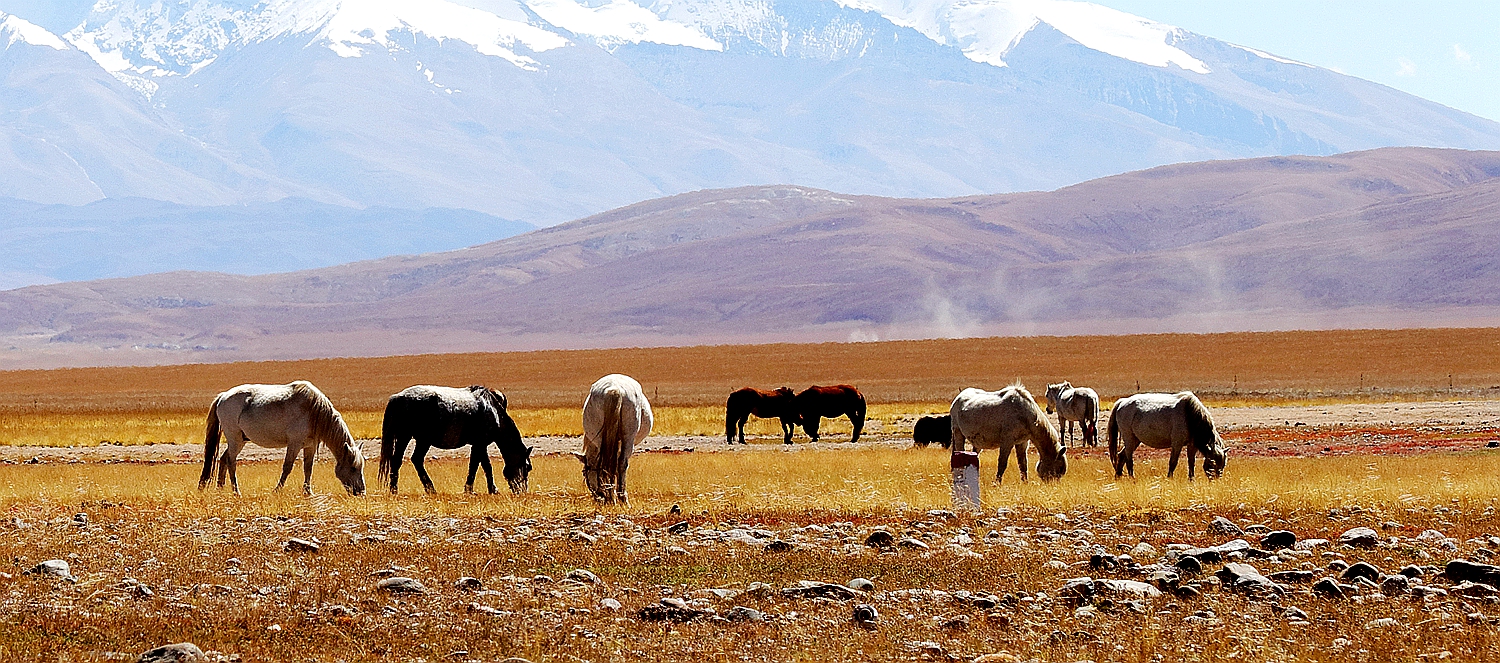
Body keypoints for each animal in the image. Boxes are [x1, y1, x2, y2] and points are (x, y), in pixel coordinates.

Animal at [199, 381, 366, 495]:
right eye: (353, 467)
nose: (361, 492)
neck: (314, 411)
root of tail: (222, 396)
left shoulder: (310, 445)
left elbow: (308, 468)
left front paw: (308, 492)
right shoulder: (294, 443)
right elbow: (287, 467)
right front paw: (277, 489)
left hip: (239, 441)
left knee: (223, 458)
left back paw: (220, 488)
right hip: (235, 440)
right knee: (230, 461)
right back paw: (236, 492)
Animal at [378, 387, 537, 495]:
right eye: (527, 467)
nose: (522, 491)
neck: (494, 412)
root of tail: (397, 397)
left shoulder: (479, 444)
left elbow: (481, 465)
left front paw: (485, 489)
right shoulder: (480, 444)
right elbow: (479, 466)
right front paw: (475, 489)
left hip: (415, 439)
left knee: (407, 460)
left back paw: (417, 489)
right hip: (412, 438)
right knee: (405, 460)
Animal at [570, 373, 654, 501]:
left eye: (584, 472)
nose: (598, 497)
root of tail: (614, 389)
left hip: (602, 439)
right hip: (628, 438)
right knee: (621, 463)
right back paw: (621, 497)